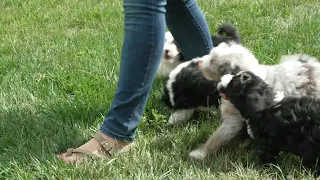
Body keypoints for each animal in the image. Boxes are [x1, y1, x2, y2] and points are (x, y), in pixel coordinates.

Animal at [189, 41, 320, 160]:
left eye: (212, 61)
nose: (198, 62)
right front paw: (243, 144)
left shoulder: (233, 121)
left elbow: (216, 138)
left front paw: (200, 153)